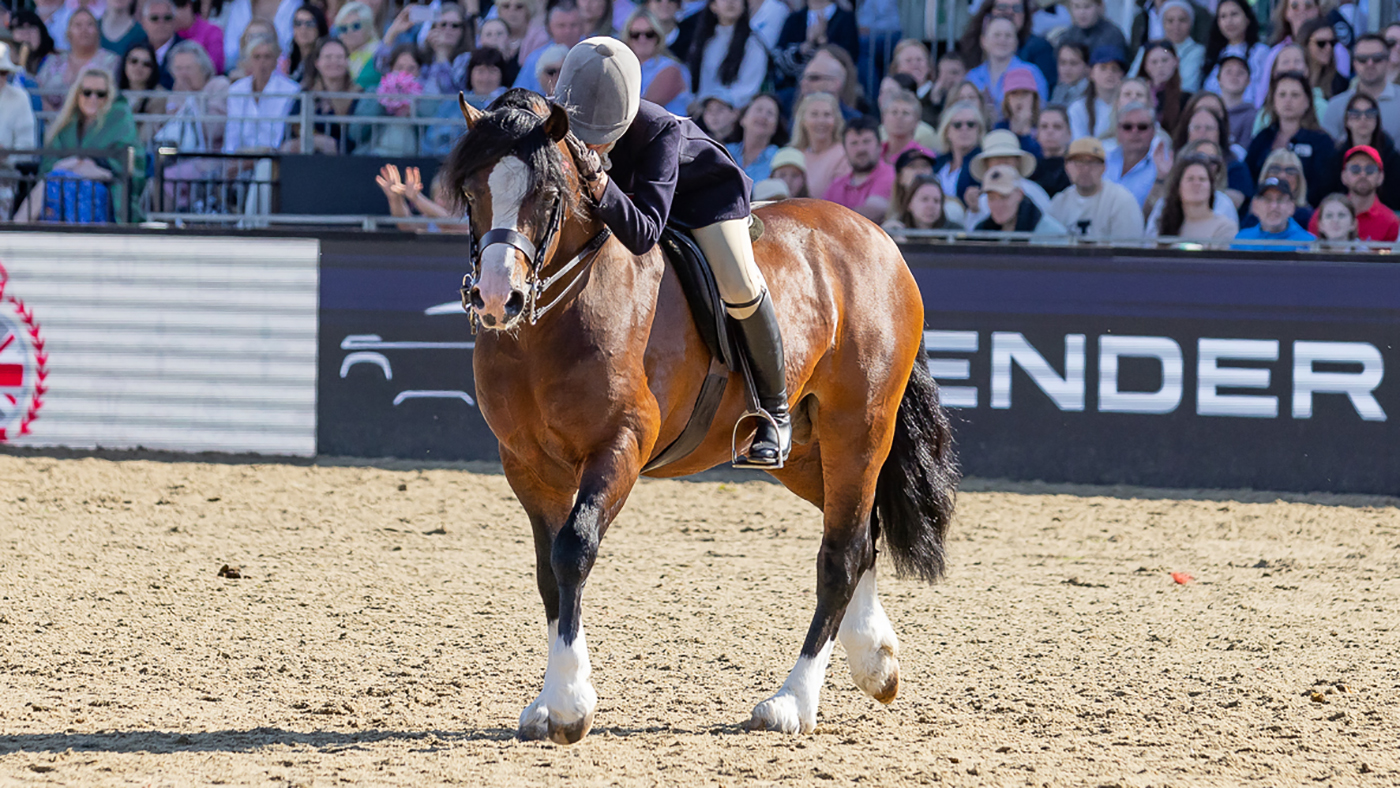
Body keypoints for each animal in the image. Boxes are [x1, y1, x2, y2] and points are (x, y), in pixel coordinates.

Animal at [442, 91, 959, 743]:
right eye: (471, 193)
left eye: (548, 195)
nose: (495, 299)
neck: (553, 318)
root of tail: (878, 240)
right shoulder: (528, 465)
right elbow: (547, 570)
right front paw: (550, 700)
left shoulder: (619, 447)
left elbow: (573, 551)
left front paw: (568, 703)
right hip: (804, 453)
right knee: (861, 533)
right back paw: (876, 662)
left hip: (859, 429)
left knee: (840, 554)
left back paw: (792, 701)